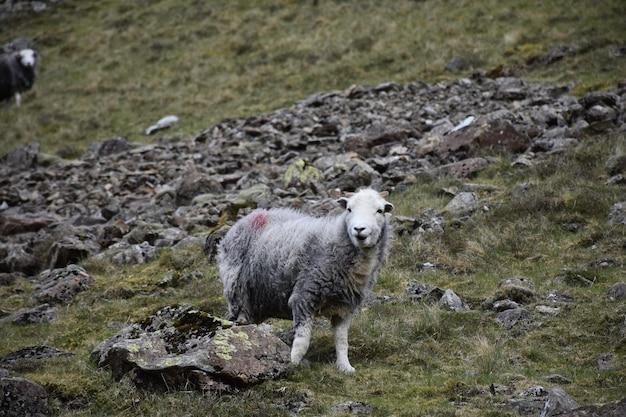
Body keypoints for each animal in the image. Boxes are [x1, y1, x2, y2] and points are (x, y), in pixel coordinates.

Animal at [214, 187, 390, 372]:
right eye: (349, 209)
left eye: (380, 211)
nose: (359, 229)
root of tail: (249, 217)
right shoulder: (304, 296)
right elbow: (302, 342)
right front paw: (292, 364)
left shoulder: (344, 307)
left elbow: (342, 341)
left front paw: (345, 367)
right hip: (237, 292)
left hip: (258, 300)